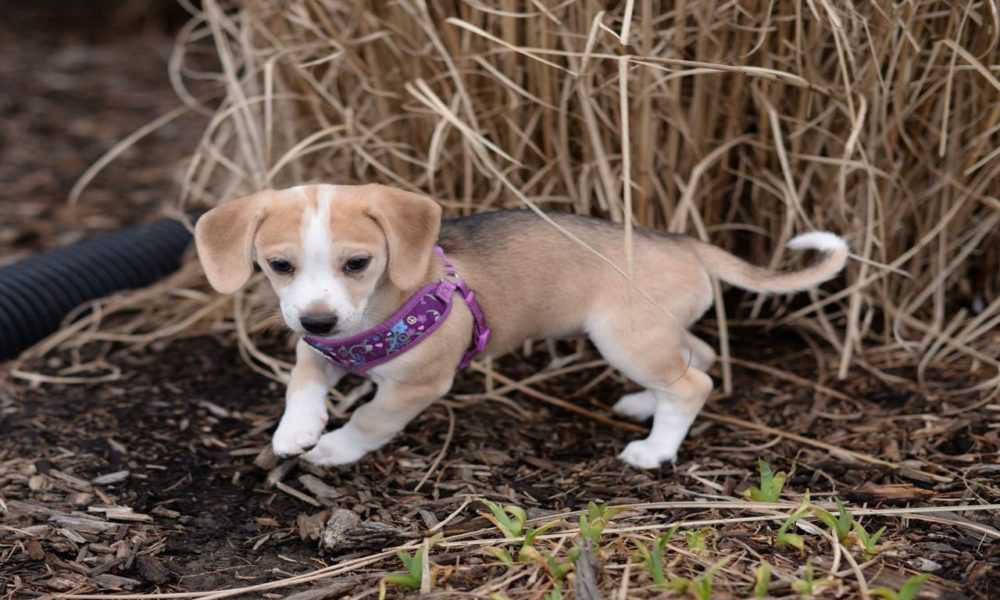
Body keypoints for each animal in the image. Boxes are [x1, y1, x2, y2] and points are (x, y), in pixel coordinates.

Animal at [193, 183, 844, 468]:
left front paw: (332, 448)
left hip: (625, 339)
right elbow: (300, 386)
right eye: (279, 266)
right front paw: (294, 433)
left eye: (357, 263)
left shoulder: (418, 386)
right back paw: (644, 405)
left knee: (694, 383)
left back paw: (655, 448)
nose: (319, 318)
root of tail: (683, 243)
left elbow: (371, 419)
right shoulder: (320, 353)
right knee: (697, 359)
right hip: (654, 335)